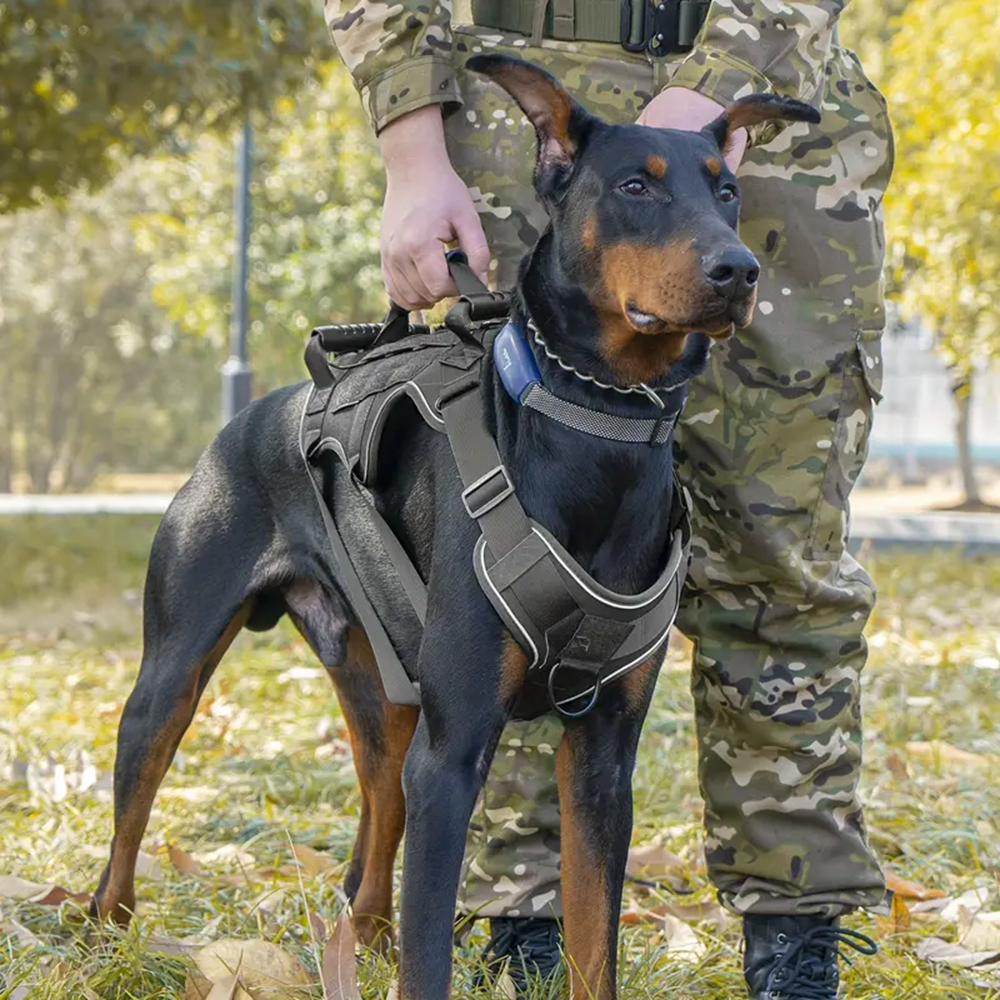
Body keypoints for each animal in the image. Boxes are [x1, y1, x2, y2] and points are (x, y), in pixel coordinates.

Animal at [90, 56, 816, 1000]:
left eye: (728, 192)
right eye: (635, 186)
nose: (739, 271)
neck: (599, 426)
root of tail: (246, 419)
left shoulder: (604, 755)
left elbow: (593, 941)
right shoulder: (456, 748)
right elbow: (431, 954)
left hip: (386, 700)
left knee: (374, 833)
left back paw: (358, 942)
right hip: (175, 674)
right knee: (130, 822)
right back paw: (108, 942)